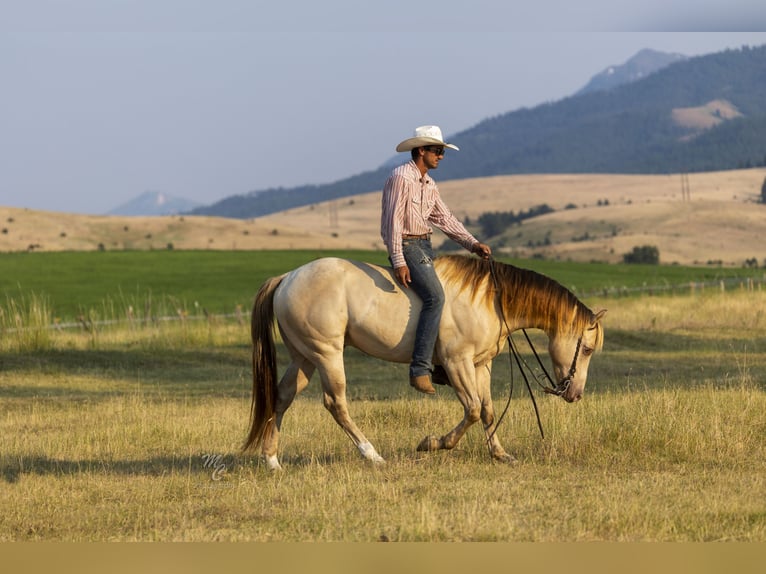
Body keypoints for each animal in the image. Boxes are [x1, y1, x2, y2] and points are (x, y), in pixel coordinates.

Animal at [246, 254, 608, 470]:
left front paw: (499, 453)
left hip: (304, 358)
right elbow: (472, 410)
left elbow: (487, 411)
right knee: (336, 404)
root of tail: (287, 277)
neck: (490, 299)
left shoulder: (481, 365)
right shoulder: (457, 362)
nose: (575, 393)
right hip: (327, 354)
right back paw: (373, 455)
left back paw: (272, 461)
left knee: (281, 398)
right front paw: (433, 444)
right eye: (588, 349)